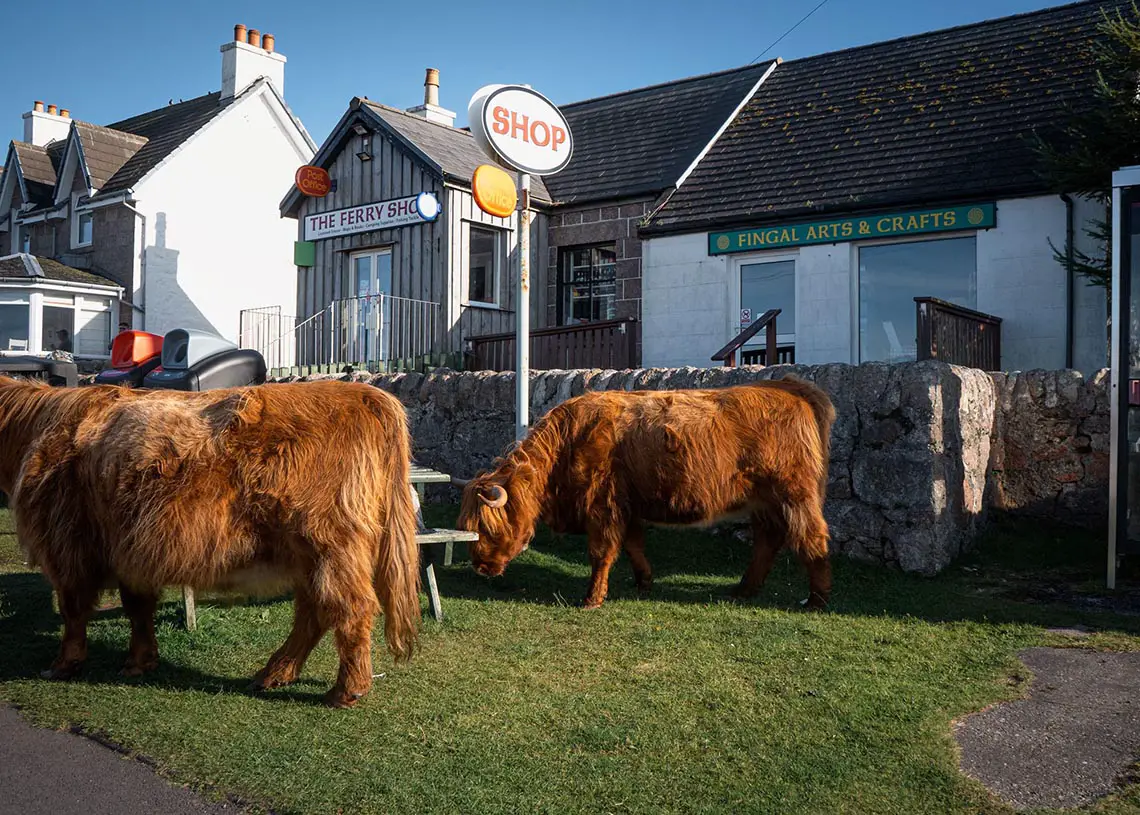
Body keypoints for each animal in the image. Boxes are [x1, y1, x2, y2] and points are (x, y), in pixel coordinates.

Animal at [0, 376, 424, 706]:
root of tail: (365, 395)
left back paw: (345, 691)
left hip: (330, 544)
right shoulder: (130, 550)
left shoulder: (65, 544)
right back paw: (273, 673)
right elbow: (138, 607)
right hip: (309, 555)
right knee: (314, 612)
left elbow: (73, 610)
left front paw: (63, 665)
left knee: (351, 608)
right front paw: (140, 662)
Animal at [456, 376, 839, 610]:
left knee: (812, 538)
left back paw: (817, 599)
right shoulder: (626, 506)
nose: (480, 567)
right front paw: (644, 581)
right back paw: (743, 589)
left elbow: (601, 553)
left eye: (487, 527)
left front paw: (592, 598)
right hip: (764, 501)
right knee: (768, 540)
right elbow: (633, 545)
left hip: (794, 495)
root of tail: (792, 386)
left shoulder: (602, 507)